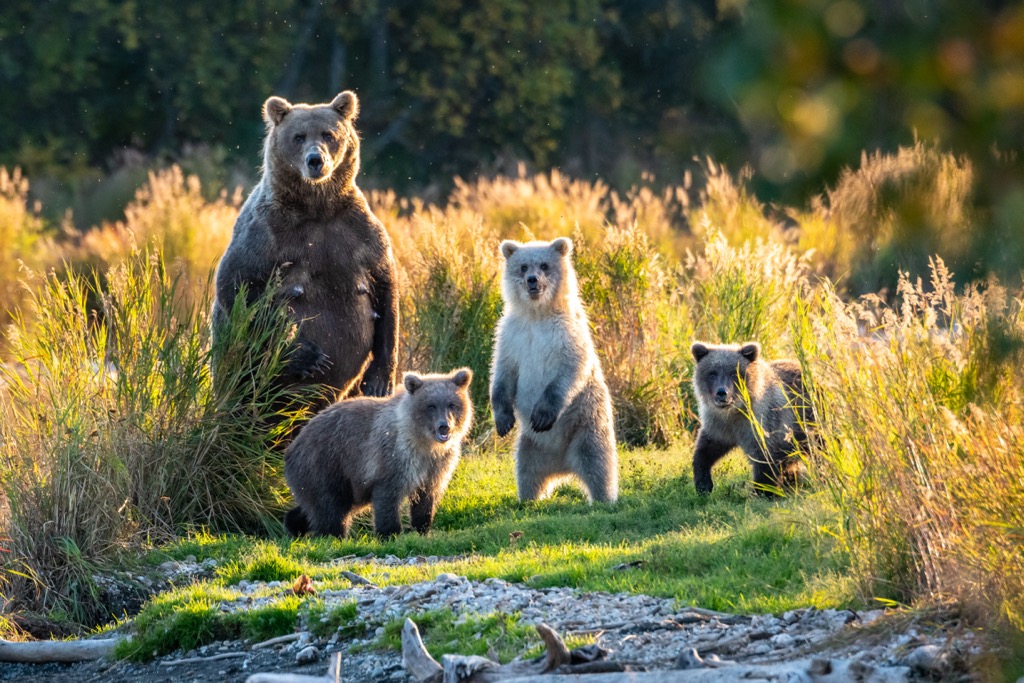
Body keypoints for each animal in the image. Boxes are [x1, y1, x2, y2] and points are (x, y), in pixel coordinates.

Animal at [211, 92, 395, 409]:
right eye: (298, 136)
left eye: (328, 134)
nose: (315, 160)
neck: (316, 208)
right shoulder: (266, 232)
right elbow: (237, 286)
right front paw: (308, 356)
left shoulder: (358, 231)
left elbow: (386, 289)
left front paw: (379, 380)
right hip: (238, 371)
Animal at [280, 368, 471, 540]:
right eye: (431, 406)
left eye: (452, 404)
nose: (444, 426)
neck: (424, 442)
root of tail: (293, 445)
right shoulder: (394, 456)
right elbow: (388, 495)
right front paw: (390, 533)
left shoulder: (437, 464)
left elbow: (427, 498)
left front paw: (422, 530)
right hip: (325, 463)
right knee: (330, 506)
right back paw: (334, 536)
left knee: (318, 505)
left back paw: (294, 525)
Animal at [487, 239, 614, 501]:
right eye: (523, 266)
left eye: (544, 265)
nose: (532, 280)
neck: (538, 315)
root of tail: (563, 467)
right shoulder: (511, 336)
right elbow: (502, 373)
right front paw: (503, 421)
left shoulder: (566, 334)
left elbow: (569, 370)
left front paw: (542, 415)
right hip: (531, 446)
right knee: (526, 471)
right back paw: (529, 498)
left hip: (586, 424)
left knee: (597, 462)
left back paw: (603, 498)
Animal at [688, 342, 806, 497]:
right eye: (712, 373)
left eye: (734, 373)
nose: (722, 392)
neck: (735, 411)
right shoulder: (718, 424)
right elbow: (705, 449)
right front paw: (703, 485)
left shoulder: (764, 422)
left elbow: (765, 457)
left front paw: (763, 491)